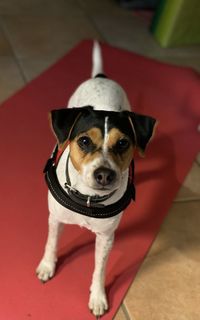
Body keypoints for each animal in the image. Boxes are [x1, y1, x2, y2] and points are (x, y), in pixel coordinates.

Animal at [36, 42, 157, 318]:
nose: (104, 174)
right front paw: (47, 266)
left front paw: (98, 297)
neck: (88, 200)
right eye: (83, 141)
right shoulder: (55, 219)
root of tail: (101, 78)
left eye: (123, 143)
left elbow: (100, 269)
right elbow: (51, 243)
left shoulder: (106, 238)